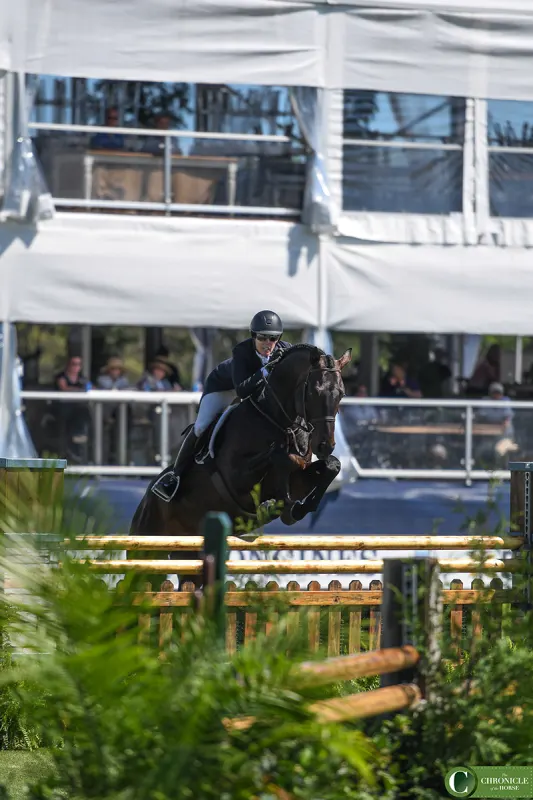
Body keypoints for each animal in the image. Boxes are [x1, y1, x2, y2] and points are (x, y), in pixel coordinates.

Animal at [130, 344, 351, 583]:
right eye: (313, 392)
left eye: (341, 394)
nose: (325, 445)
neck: (279, 420)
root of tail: (145, 500)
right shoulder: (236, 479)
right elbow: (282, 458)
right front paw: (277, 505)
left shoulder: (299, 478)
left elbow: (331, 466)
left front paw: (296, 509)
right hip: (148, 546)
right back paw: (167, 485)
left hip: (188, 555)